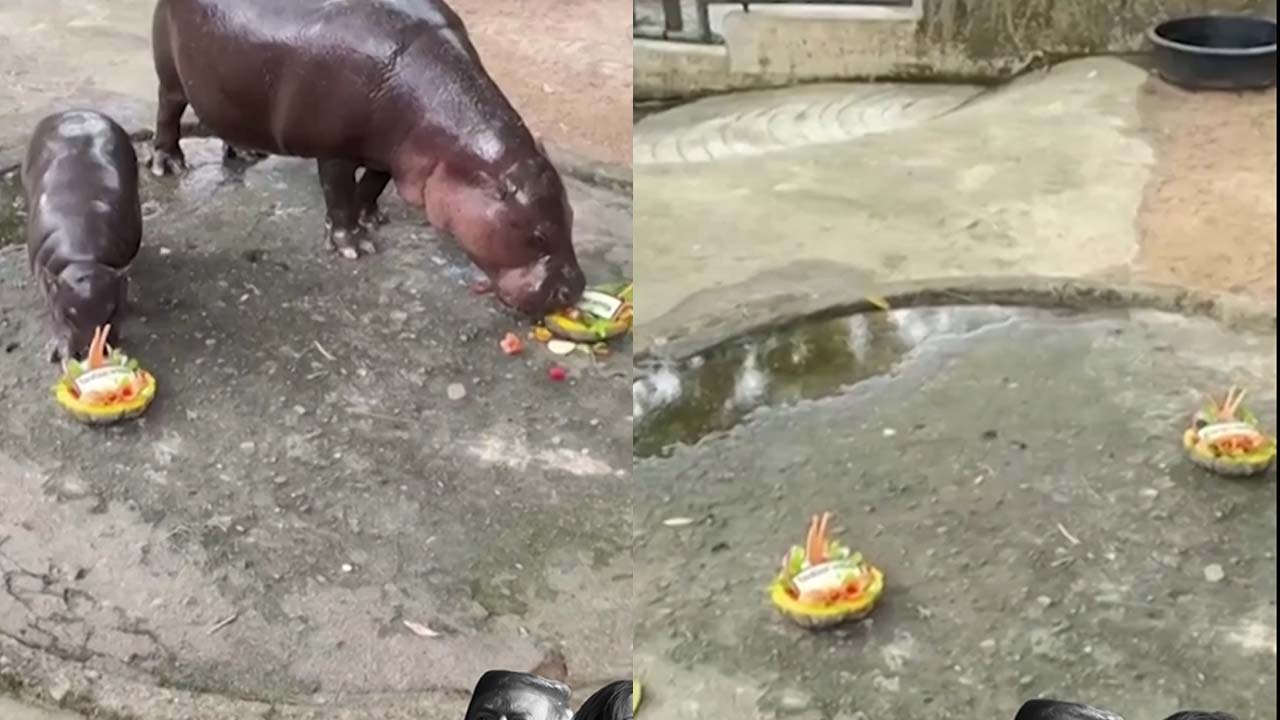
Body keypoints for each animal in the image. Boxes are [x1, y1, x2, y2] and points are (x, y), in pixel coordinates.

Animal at [22, 110, 141, 362]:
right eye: (68, 314)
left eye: (110, 309)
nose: (90, 352)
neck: (83, 259)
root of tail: (75, 111)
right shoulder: (51, 289)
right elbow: (54, 318)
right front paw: (55, 352)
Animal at [149, 0, 586, 315]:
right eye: (536, 234)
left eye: (570, 215)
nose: (576, 289)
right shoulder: (334, 150)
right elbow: (339, 193)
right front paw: (355, 246)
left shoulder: (392, 153)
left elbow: (372, 184)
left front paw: (372, 218)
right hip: (171, 75)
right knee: (168, 111)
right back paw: (168, 165)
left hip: (228, 89)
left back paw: (243, 152)